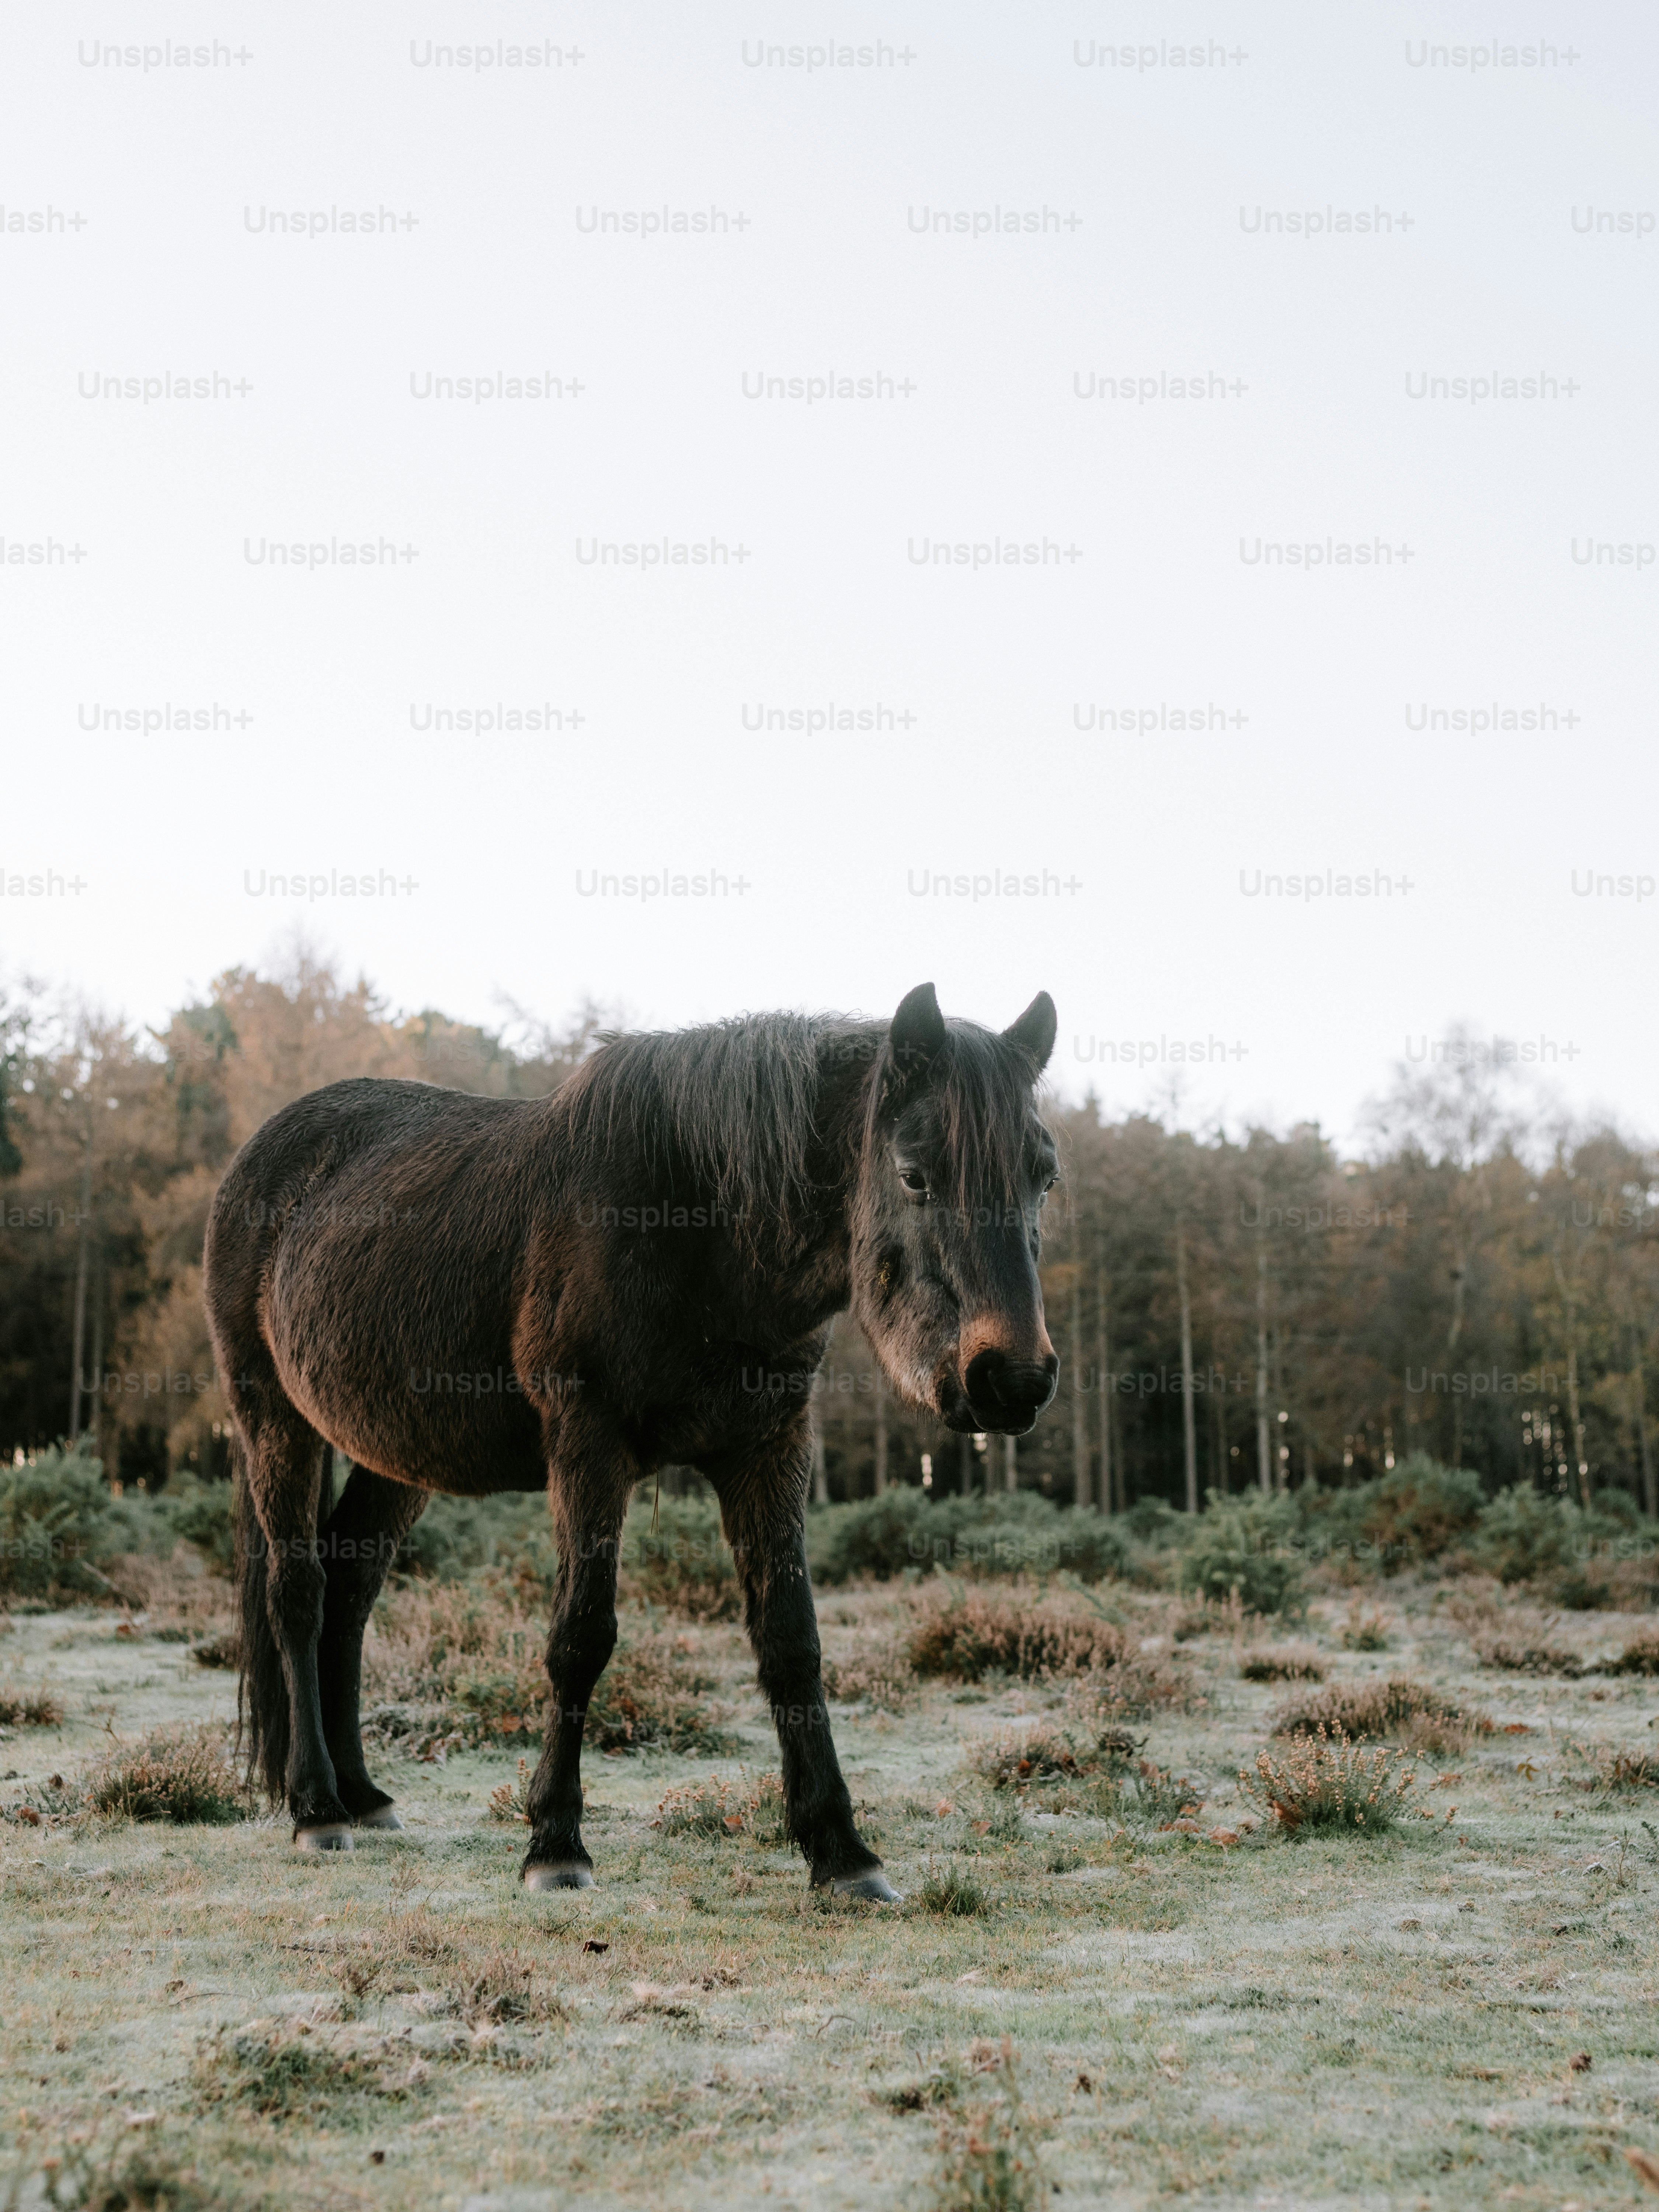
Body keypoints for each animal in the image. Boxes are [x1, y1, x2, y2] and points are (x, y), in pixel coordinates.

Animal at [203, 981, 1059, 1897]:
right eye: (914, 1174)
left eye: (1044, 1176)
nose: (1010, 1379)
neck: (704, 1230)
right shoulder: (589, 1446)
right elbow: (581, 1636)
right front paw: (555, 1842)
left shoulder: (768, 1450)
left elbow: (791, 1641)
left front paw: (841, 1851)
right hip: (274, 1420)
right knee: (298, 1592)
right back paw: (317, 1808)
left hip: (395, 1455)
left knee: (352, 1590)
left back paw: (362, 1794)